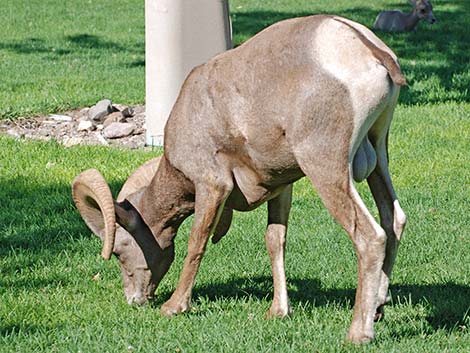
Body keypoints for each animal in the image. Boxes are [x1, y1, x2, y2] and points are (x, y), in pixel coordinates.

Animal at [72, 15, 408, 342]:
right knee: (393, 219)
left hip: (326, 167)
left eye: (119, 250)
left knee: (370, 236)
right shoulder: (282, 187)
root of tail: (370, 51)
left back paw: (358, 333)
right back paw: (378, 309)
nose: (135, 300)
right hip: (379, 153)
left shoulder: (211, 185)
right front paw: (278, 311)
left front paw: (174, 307)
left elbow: (197, 241)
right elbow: (275, 239)